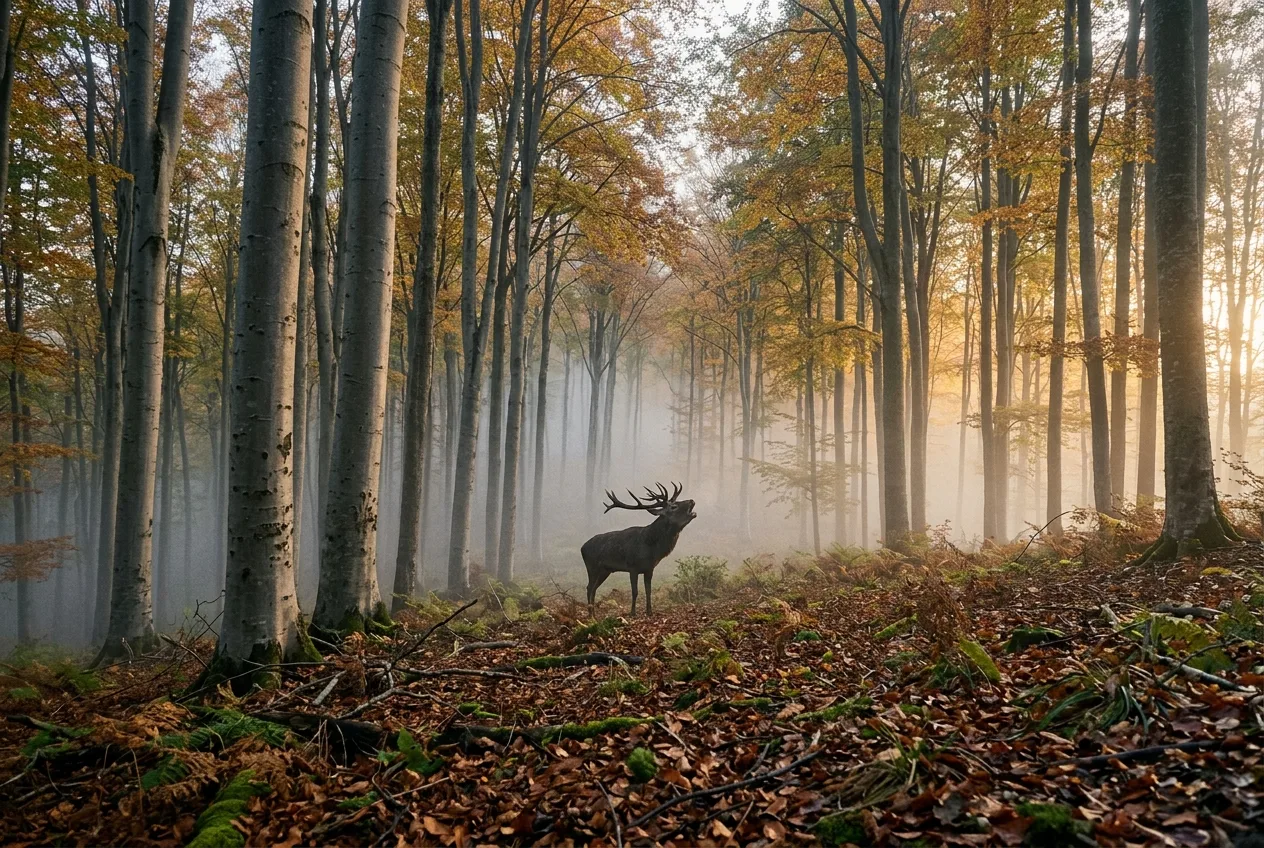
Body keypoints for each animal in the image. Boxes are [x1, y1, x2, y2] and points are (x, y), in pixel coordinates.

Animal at [582, 482, 697, 617]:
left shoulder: (650, 568)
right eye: (674, 506)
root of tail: (582, 547)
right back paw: (590, 614)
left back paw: (593, 614)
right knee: (589, 587)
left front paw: (649, 612)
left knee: (594, 588)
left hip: (605, 570)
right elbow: (635, 591)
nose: (692, 500)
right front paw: (632, 613)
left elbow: (648, 591)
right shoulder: (632, 567)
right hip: (592, 567)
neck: (651, 548)